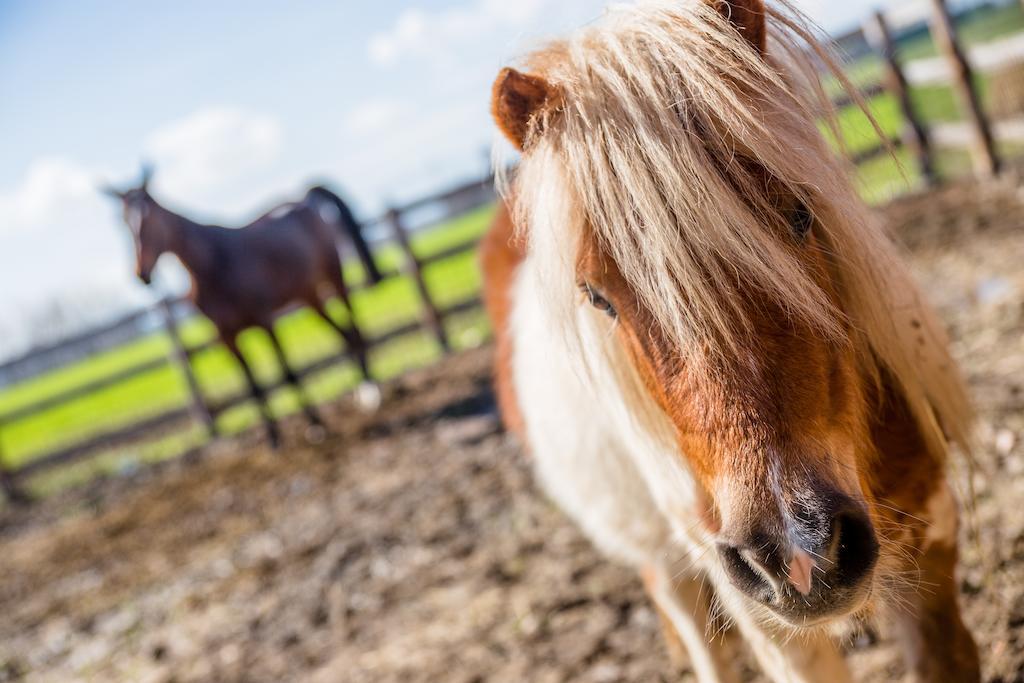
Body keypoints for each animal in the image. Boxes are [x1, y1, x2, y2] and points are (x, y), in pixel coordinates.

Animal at [101, 168, 382, 448]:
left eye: (148, 217)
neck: (212, 265)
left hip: (334, 277)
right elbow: (253, 387)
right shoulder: (226, 337)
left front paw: (315, 425)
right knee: (344, 335)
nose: (142, 274)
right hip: (309, 296)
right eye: (124, 221)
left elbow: (288, 374)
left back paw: (371, 389)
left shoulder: (265, 321)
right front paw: (273, 437)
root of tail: (302, 199)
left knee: (354, 328)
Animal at [483, 1, 978, 683]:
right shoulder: (768, 620)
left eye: (800, 214)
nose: (797, 551)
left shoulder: (932, 541)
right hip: (666, 558)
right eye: (597, 298)